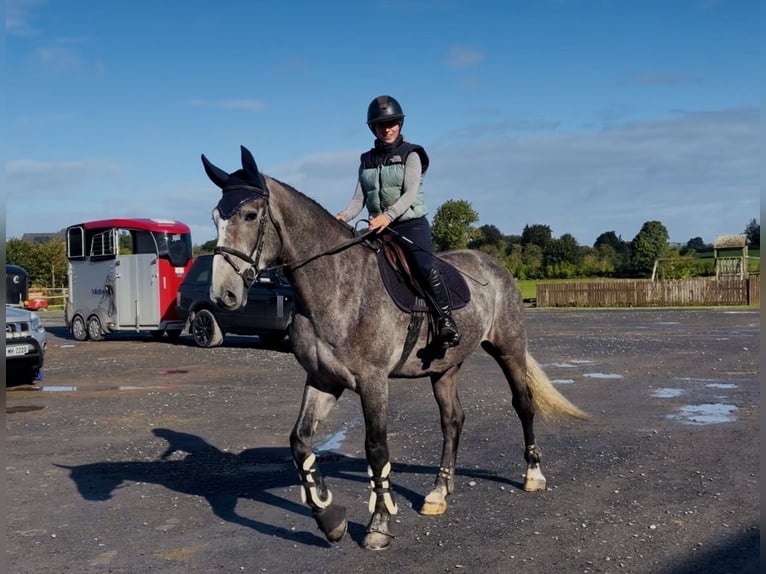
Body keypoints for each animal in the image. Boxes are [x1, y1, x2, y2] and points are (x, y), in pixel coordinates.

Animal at [202, 145, 588, 550]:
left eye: (250, 214)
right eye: (215, 217)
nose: (223, 294)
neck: (338, 286)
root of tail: (493, 266)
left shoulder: (373, 382)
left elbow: (376, 449)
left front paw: (378, 525)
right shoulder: (323, 380)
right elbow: (300, 442)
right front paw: (330, 518)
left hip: (508, 348)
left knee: (523, 405)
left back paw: (533, 475)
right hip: (444, 368)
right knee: (452, 420)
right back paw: (438, 492)